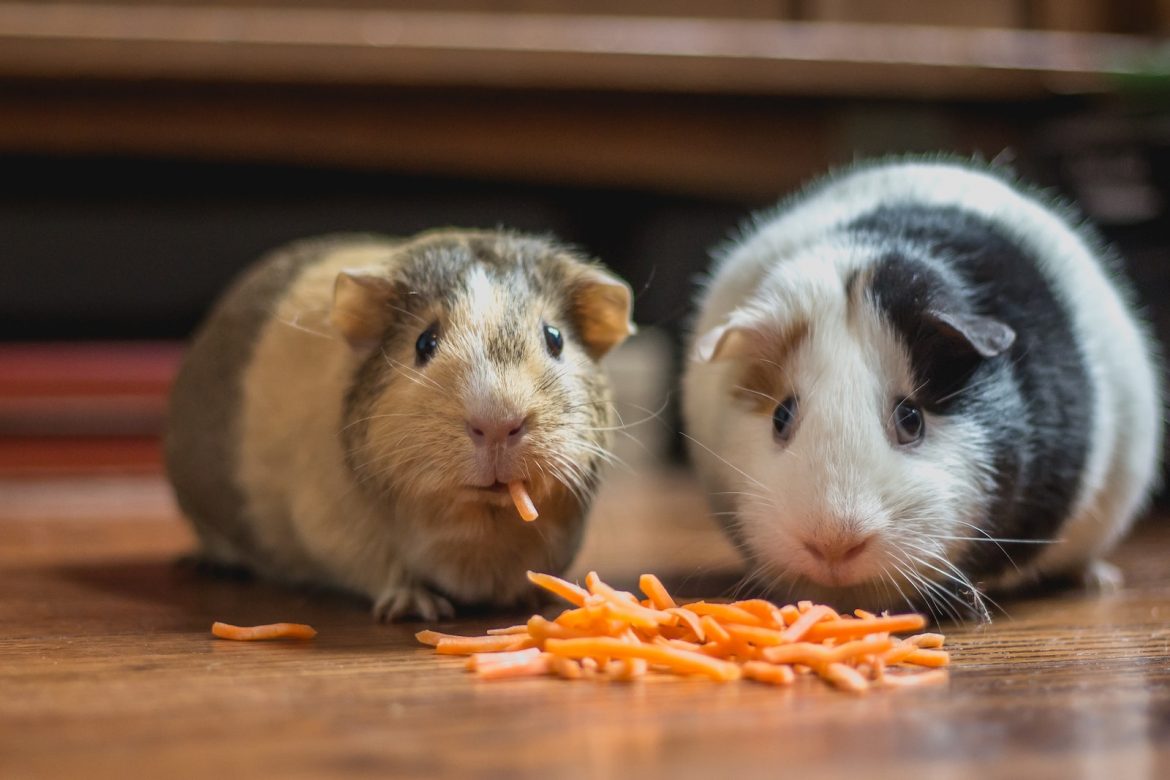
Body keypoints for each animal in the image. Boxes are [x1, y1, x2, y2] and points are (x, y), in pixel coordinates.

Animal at [165, 229, 634, 621]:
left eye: (554, 338)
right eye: (424, 342)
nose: (498, 423)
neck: (481, 525)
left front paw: (532, 597)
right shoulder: (338, 535)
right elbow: (389, 572)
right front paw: (418, 609)